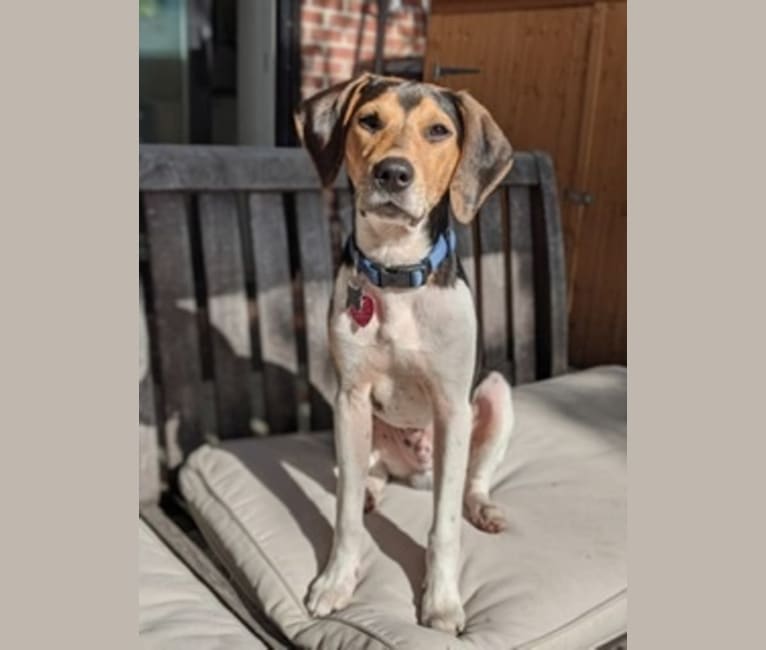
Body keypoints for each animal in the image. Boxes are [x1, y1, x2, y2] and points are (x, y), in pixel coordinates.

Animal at [294, 72, 516, 632]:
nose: (392, 172)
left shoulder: (452, 407)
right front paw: (336, 581)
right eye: (369, 120)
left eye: (438, 131)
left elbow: (444, 527)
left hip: (496, 394)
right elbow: (345, 512)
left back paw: (482, 507)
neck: (394, 271)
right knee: (365, 474)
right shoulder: (350, 398)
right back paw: (374, 488)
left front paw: (442, 601)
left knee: (472, 480)